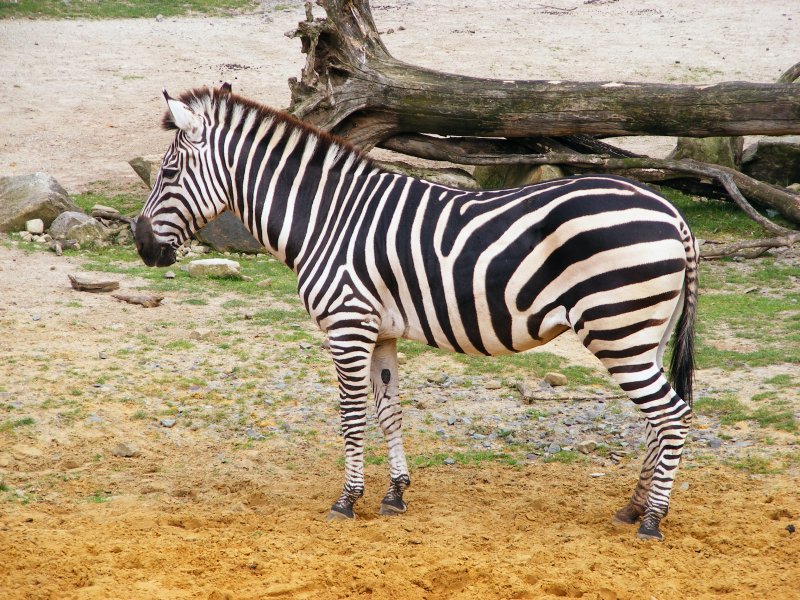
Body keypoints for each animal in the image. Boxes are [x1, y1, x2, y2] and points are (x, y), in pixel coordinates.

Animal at [138, 85, 700, 544]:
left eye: (168, 173)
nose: (141, 246)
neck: (326, 218)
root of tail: (672, 213)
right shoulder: (379, 330)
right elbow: (389, 410)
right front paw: (395, 493)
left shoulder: (347, 324)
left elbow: (350, 415)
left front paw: (347, 500)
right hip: (641, 332)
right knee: (656, 419)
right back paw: (632, 508)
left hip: (617, 326)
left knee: (672, 414)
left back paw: (652, 520)